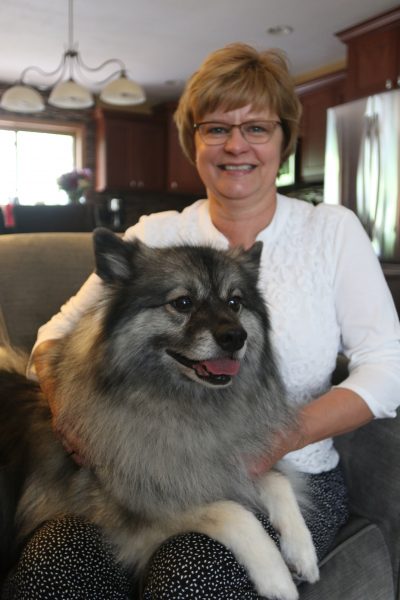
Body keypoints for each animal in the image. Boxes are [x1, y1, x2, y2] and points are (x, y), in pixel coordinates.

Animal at [0, 227, 318, 596]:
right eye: (182, 302)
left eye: (234, 302)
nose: (236, 336)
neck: (184, 405)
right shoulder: (140, 511)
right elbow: (235, 513)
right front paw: (277, 577)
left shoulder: (230, 462)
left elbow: (277, 481)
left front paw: (302, 551)